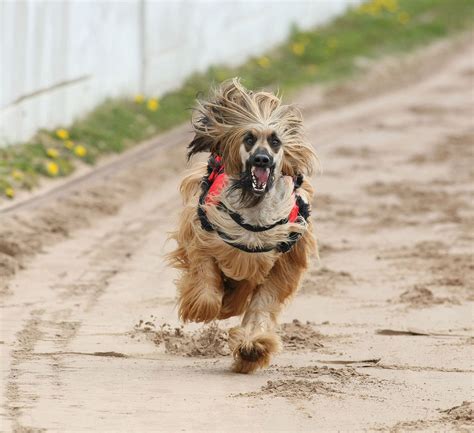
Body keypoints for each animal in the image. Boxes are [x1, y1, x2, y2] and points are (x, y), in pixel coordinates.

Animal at [168, 77, 316, 372]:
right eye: (249, 138)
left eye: (275, 141)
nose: (262, 159)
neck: (254, 206)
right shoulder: (206, 235)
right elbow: (206, 279)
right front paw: (203, 306)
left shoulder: (283, 260)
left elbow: (263, 303)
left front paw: (253, 346)